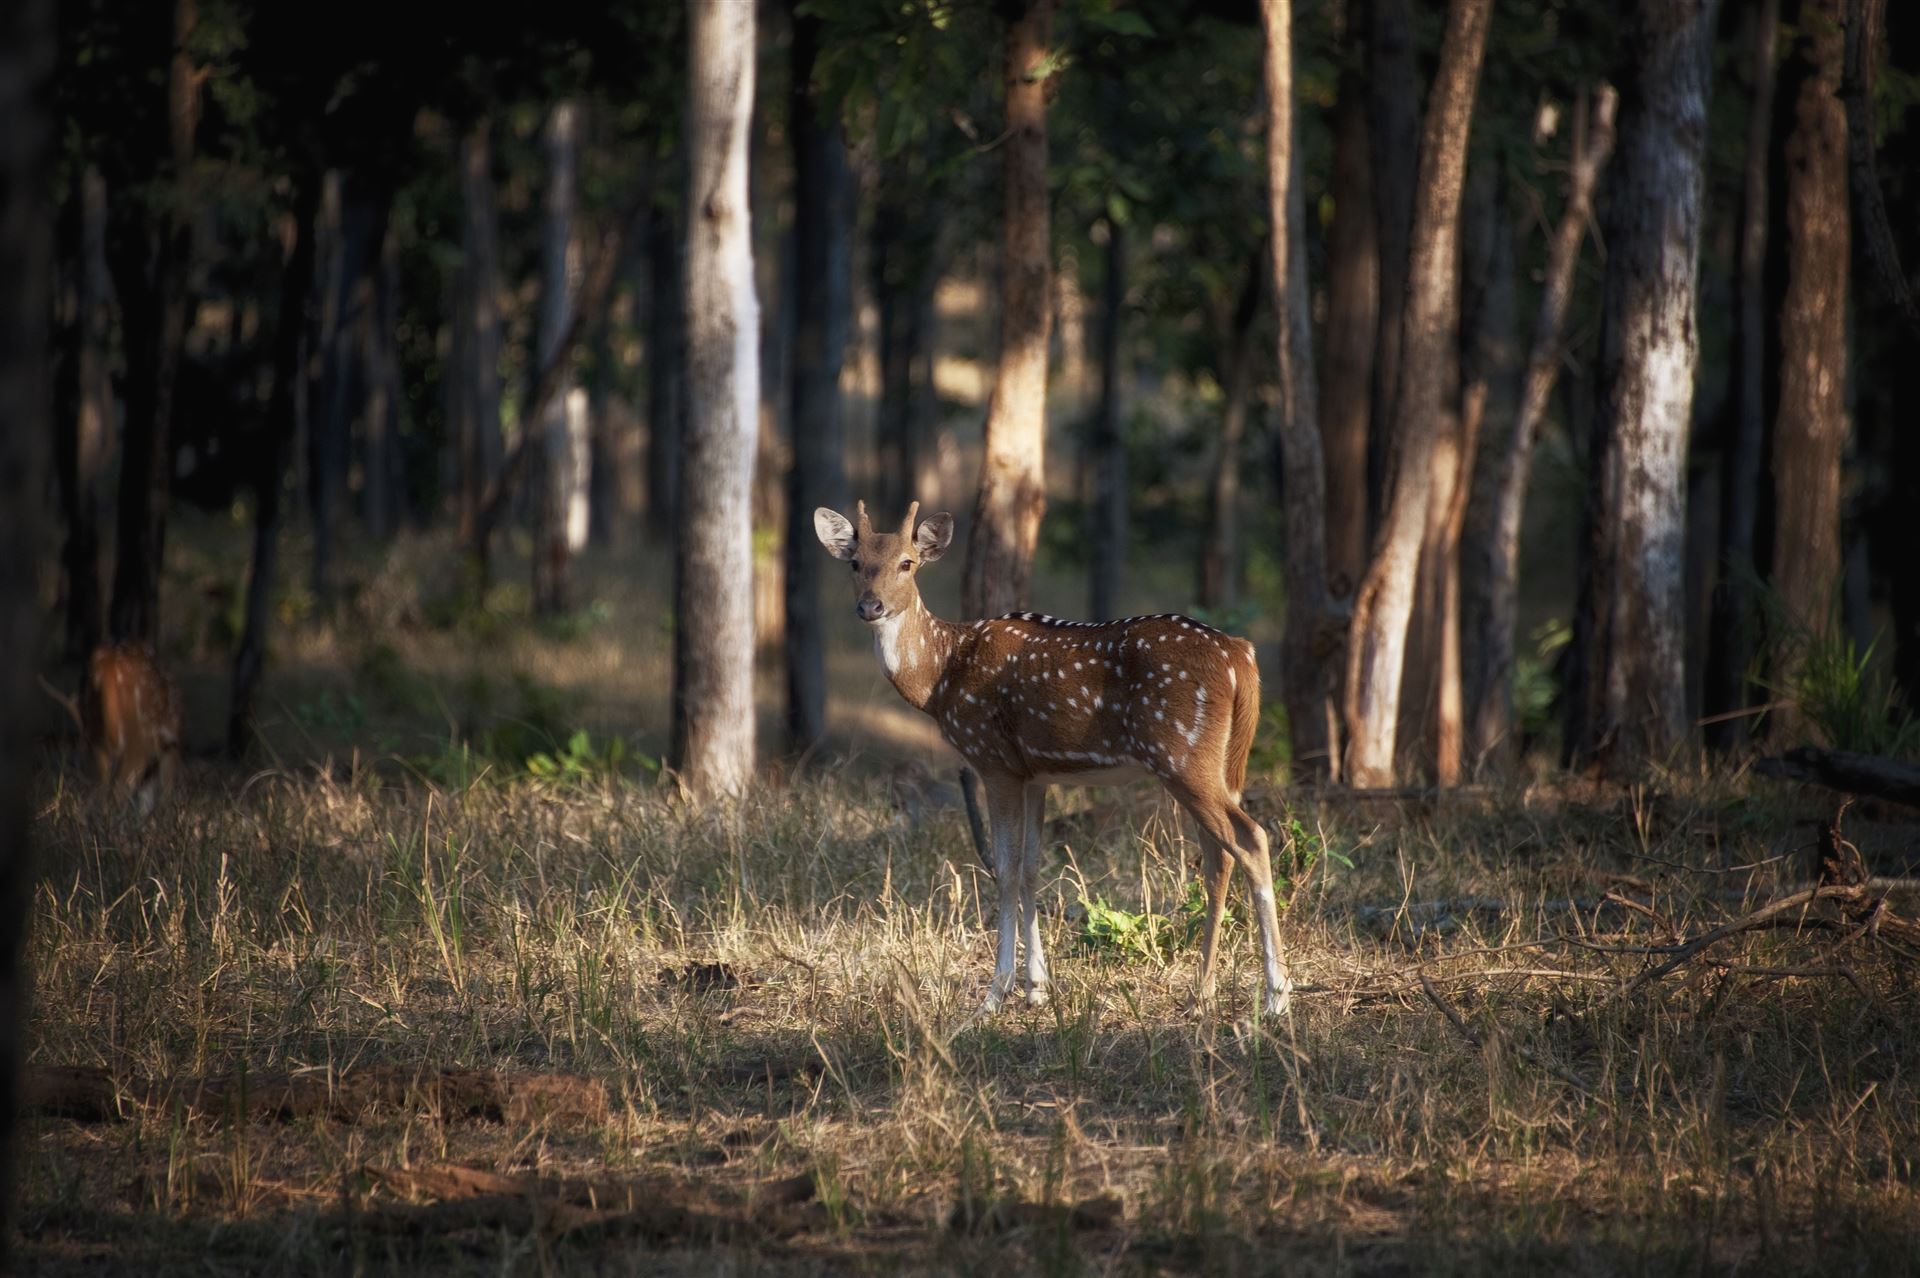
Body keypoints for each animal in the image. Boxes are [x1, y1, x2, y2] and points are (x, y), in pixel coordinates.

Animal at [40, 640, 183, 817]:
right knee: (120, 787)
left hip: (96, 736)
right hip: (137, 739)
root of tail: (107, 664)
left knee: (105, 784)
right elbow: (165, 790)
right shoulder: (171, 744)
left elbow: (146, 797)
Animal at [815, 500, 1293, 1017]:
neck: (941, 677)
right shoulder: (1036, 773)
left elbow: (1003, 870)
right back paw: (1202, 993)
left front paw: (995, 994)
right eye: (855, 563)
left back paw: (1276, 997)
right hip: (1220, 763)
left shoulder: (993, 760)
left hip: (1182, 754)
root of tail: (1242, 656)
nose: (870, 606)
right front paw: (1037, 987)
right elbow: (1030, 869)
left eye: (907, 562)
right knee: (1217, 858)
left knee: (1250, 839)